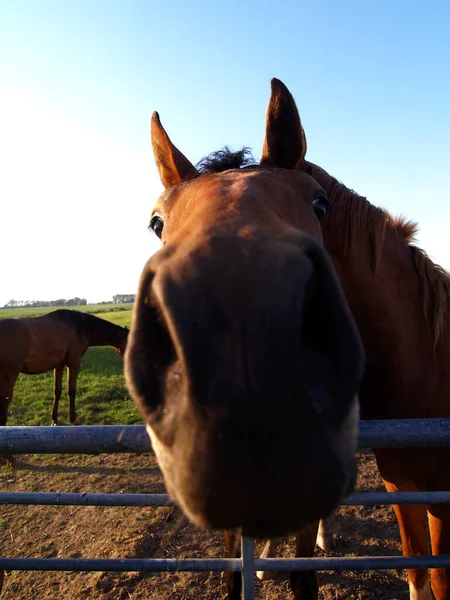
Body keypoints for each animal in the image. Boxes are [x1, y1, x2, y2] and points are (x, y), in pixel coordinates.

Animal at [0, 310, 128, 426]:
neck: (80, 328)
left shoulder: (59, 365)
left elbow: (57, 391)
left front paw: (54, 419)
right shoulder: (74, 363)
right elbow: (71, 390)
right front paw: (73, 418)